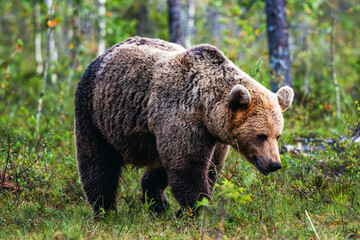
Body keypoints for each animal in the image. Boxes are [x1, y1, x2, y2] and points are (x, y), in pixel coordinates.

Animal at [74, 36, 294, 216]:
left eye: (278, 135)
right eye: (261, 135)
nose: (274, 164)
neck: (205, 108)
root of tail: (102, 55)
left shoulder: (214, 136)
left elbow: (210, 167)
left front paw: (184, 209)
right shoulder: (181, 117)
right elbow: (188, 165)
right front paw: (202, 209)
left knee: (157, 166)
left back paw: (157, 202)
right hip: (94, 110)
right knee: (97, 162)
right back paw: (106, 210)